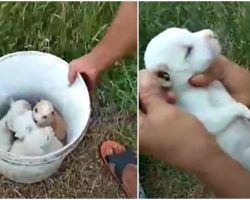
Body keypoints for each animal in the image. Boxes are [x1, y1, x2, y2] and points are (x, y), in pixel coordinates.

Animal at [145, 27, 250, 170]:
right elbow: (220, 115)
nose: (211, 33)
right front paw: (246, 112)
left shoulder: (216, 85)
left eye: (189, 31)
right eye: (188, 50)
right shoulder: (203, 114)